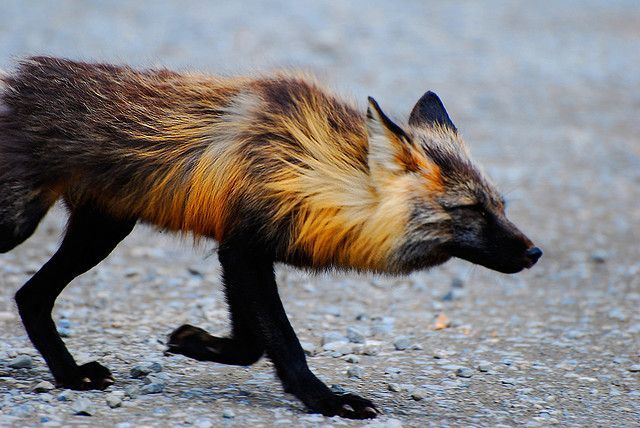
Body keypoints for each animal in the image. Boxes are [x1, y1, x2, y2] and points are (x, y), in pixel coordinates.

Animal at [0, 56, 544, 418]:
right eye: (470, 209)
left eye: (500, 206)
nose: (535, 252)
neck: (309, 169)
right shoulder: (244, 248)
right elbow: (282, 343)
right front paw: (325, 400)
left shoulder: (241, 249)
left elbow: (249, 344)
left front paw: (196, 344)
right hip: (20, 225)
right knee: (29, 290)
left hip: (102, 232)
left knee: (29, 295)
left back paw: (69, 375)